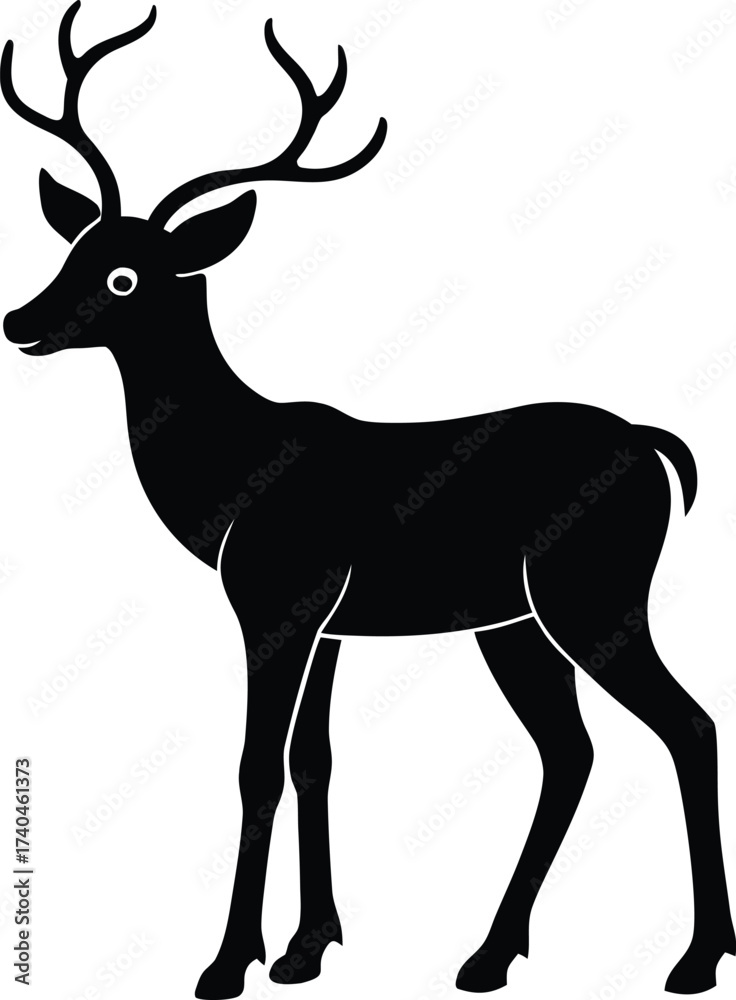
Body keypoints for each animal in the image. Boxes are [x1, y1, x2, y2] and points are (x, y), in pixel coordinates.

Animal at [2, 4, 734, 998]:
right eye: (74, 247)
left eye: (127, 277)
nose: (20, 321)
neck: (234, 468)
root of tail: (658, 447)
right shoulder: (330, 623)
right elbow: (315, 761)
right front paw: (307, 948)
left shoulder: (275, 599)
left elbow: (258, 768)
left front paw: (226, 963)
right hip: (513, 622)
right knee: (571, 751)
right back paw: (489, 954)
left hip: (592, 596)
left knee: (687, 723)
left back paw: (694, 958)